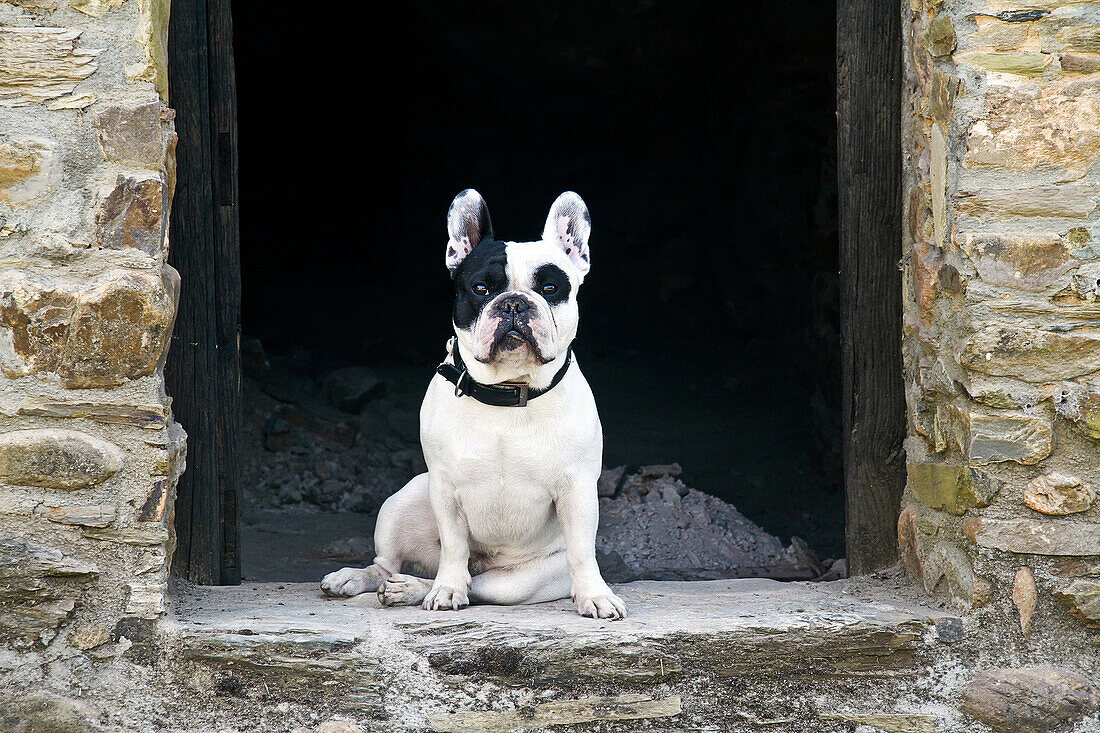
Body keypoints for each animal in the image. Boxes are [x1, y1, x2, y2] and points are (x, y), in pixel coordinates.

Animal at [321, 187, 629, 616]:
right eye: (482, 289)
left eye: (550, 289)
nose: (514, 303)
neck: (507, 391)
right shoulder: (445, 487)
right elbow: (453, 546)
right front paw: (447, 590)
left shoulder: (578, 488)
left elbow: (583, 551)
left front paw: (594, 595)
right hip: (406, 497)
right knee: (391, 564)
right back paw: (367, 579)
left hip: (519, 581)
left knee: (483, 585)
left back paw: (410, 588)